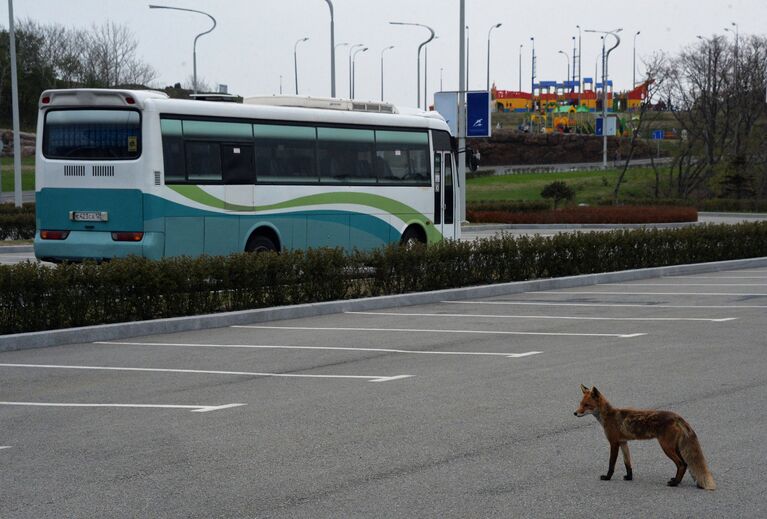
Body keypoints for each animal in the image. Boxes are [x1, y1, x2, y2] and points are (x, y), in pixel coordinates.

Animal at [572, 386, 716, 492]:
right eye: (580, 404)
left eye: (587, 405)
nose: (575, 413)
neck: (609, 416)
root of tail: (677, 417)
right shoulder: (623, 442)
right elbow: (627, 463)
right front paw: (629, 477)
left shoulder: (614, 443)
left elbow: (611, 463)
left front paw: (607, 477)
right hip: (674, 447)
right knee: (685, 464)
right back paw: (676, 480)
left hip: (666, 447)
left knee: (682, 464)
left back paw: (675, 483)